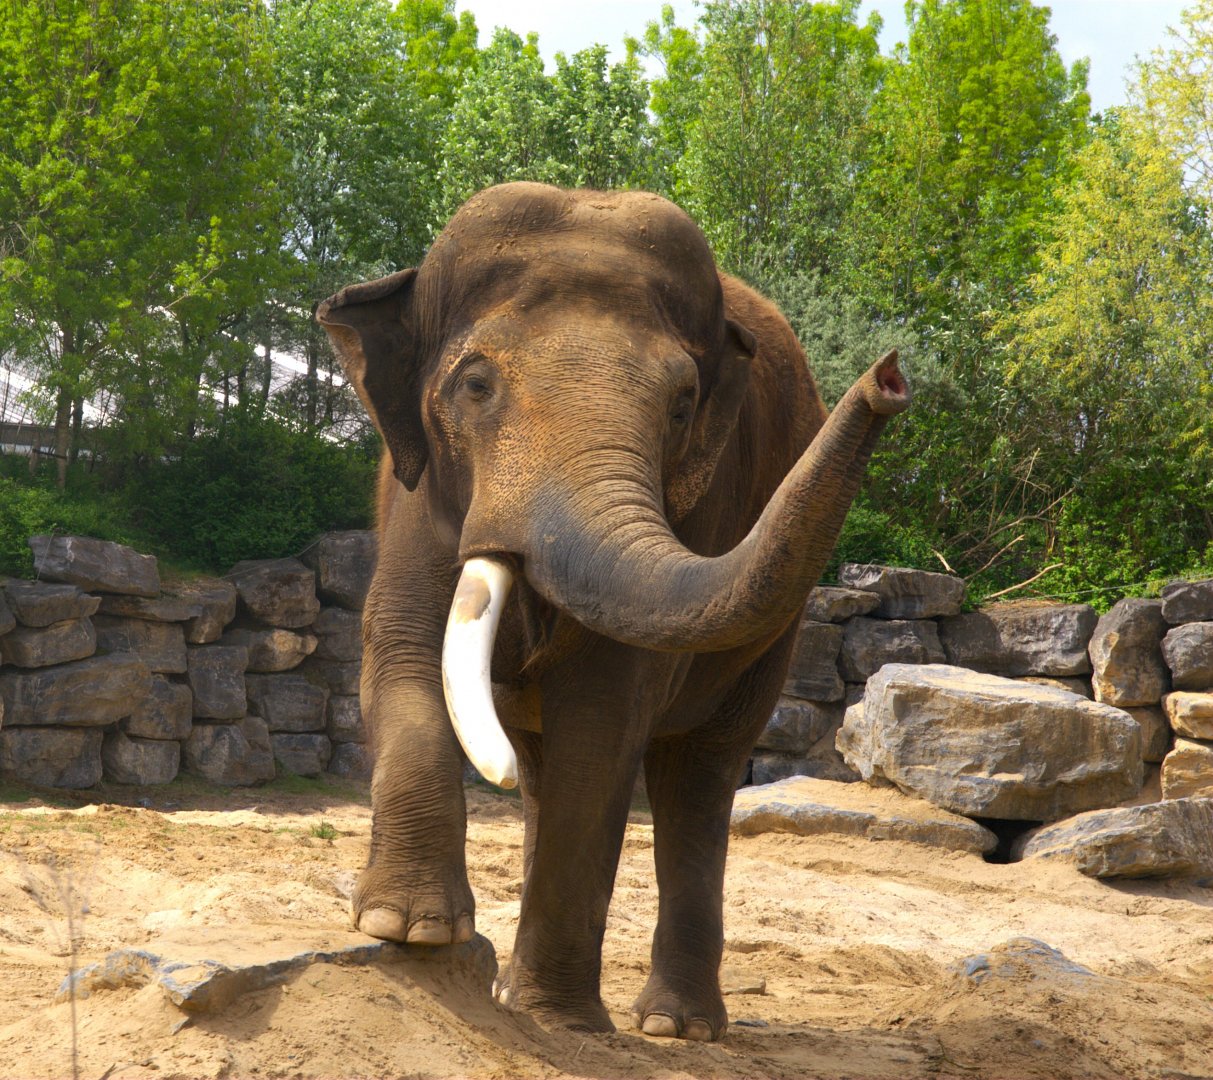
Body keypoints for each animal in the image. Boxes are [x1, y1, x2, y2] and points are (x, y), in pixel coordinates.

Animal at [317, 182, 908, 1040]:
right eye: (474, 385)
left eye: (682, 405)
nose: (889, 378)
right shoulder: (414, 492)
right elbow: (401, 650)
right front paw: (409, 930)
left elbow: (603, 718)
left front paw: (560, 1020)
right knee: (542, 770)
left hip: (776, 638)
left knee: (697, 775)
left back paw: (674, 1027)